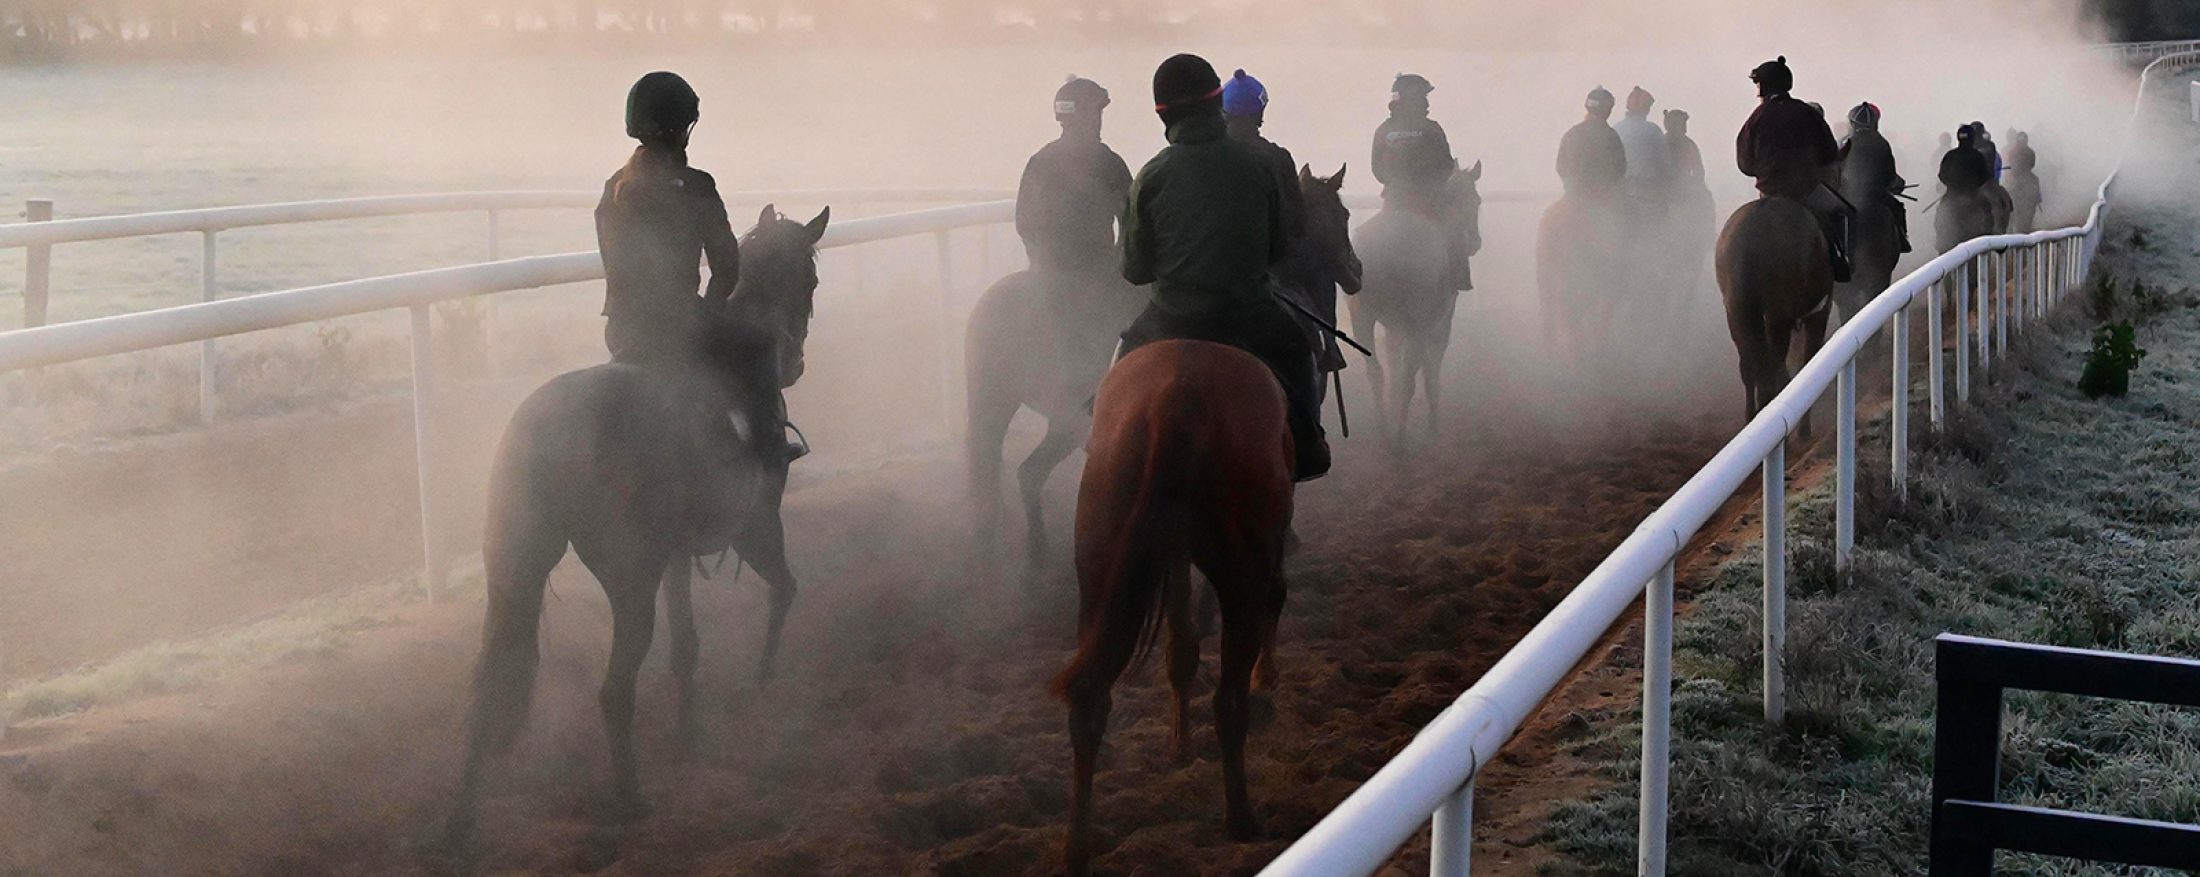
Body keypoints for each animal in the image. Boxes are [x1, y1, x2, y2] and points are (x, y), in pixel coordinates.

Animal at [446, 204, 831, 844]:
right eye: (811, 279)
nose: (796, 362)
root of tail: (550, 429)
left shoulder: (676, 556)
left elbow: (687, 647)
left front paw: (690, 736)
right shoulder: (755, 525)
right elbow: (784, 589)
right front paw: (762, 680)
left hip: (514, 573)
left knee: (488, 684)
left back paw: (458, 820)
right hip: (630, 581)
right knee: (613, 690)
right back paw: (631, 799)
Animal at [1056, 340, 1293, 874]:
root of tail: (1177, 397)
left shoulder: (1171, 549)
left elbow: (1180, 648)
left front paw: (1178, 745)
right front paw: (1266, 675)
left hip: (1100, 562)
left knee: (1089, 695)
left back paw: (1078, 845)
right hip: (1241, 570)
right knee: (1229, 698)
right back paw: (1241, 819)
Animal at [1346, 161, 1487, 446]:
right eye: (1475, 200)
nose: (1475, 242)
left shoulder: (1395, 326)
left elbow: (1394, 359)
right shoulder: (1438, 322)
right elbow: (1430, 369)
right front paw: (1432, 426)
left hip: (1362, 318)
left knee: (1376, 373)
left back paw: (1385, 432)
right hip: (1416, 323)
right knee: (1409, 376)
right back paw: (1400, 439)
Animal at [1707, 195, 1830, 435]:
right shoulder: (1818, 313)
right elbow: (1807, 360)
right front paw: (1804, 428)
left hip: (1739, 315)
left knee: (1749, 367)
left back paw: (1751, 419)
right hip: (1776, 317)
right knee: (1769, 372)